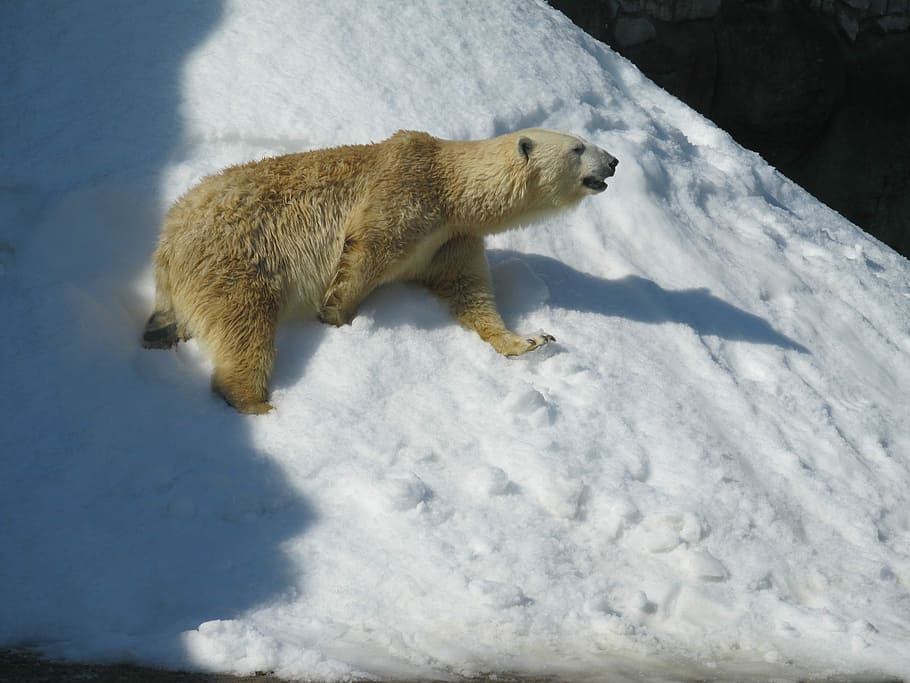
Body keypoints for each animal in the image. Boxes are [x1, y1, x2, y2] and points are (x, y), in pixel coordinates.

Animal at [143, 128, 618, 413]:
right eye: (578, 147)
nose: (613, 160)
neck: (453, 189)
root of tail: (167, 240)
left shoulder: (451, 241)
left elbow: (470, 293)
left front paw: (530, 340)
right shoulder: (405, 192)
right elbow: (368, 250)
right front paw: (337, 315)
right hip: (235, 256)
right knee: (244, 324)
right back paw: (259, 403)